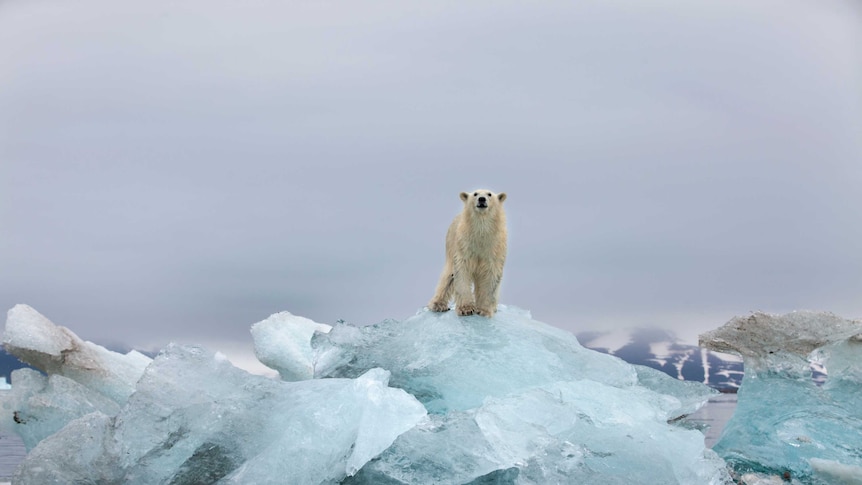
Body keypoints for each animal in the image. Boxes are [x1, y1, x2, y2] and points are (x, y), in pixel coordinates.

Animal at [430, 189, 510, 318]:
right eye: (475, 194)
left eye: (489, 194)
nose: (482, 199)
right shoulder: (464, 245)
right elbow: (461, 272)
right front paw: (466, 309)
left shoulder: (494, 248)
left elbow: (491, 277)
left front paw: (484, 310)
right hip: (450, 244)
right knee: (448, 275)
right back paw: (438, 305)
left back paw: (494, 307)